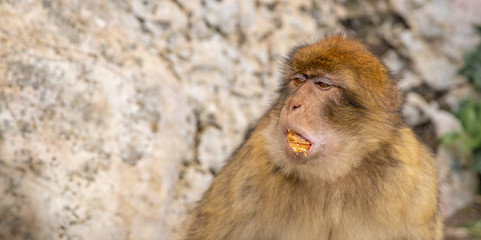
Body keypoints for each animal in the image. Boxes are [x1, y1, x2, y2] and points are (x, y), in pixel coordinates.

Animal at [184, 35, 442, 240]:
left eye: (322, 84)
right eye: (298, 80)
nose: (292, 103)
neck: (334, 176)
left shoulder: (412, 184)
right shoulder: (248, 175)